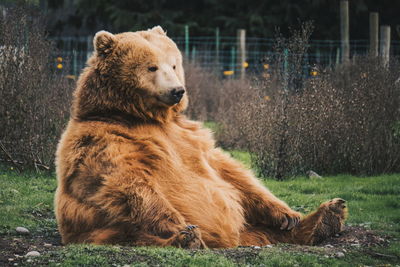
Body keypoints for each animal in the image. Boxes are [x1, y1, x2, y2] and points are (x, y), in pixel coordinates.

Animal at [54, 27, 346, 249]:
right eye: (151, 67)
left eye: (173, 64)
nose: (177, 90)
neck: (144, 116)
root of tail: (233, 240)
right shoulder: (104, 140)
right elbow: (125, 182)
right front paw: (180, 226)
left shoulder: (191, 137)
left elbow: (232, 173)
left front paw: (287, 214)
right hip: (100, 228)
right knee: (133, 233)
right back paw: (186, 238)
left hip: (250, 226)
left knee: (268, 229)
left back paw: (327, 216)